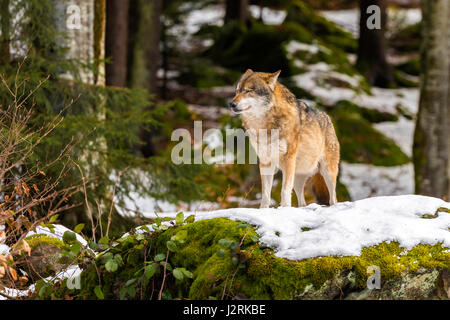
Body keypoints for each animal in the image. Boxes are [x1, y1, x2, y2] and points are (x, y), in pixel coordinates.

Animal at [230, 69, 340, 208]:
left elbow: (284, 189)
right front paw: (263, 209)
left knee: (333, 197)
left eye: (248, 90)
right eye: (237, 90)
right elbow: (265, 193)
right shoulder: (265, 161)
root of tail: (327, 117)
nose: (231, 104)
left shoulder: (288, 158)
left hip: (327, 172)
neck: (265, 125)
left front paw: (285, 207)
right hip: (298, 177)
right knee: (302, 200)